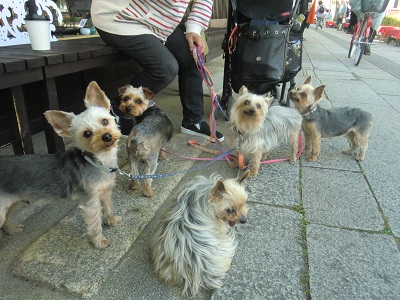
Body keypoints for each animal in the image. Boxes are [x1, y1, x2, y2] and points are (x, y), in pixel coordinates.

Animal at [0, 80, 122, 248]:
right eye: (87, 134)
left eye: (105, 121)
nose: (107, 136)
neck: (100, 161)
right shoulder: (90, 202)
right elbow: (95, 223)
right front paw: (99, 242)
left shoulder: (105, 192)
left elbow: (109, 207)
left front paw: (112, 221)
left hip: (12, 200)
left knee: (7, 217)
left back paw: (11, 229)